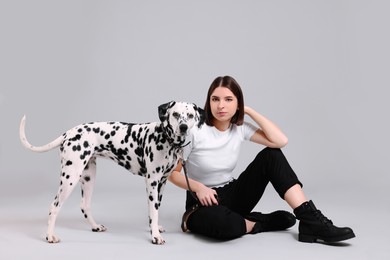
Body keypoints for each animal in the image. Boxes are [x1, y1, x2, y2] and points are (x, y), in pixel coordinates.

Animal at [19, 101, 204, 244]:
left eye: (189, 115)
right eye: (175, 114)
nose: (183, 127)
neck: (166, 139)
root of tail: (69, 133)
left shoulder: (162, 182)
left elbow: (154, 210)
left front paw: (155, 228)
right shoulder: (152, 181)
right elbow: (154, 210)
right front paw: (155, 236)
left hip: (88, 177)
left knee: (84, 205)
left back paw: (95, 226)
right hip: (70, 177)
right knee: (54, 206)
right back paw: (50, 235)